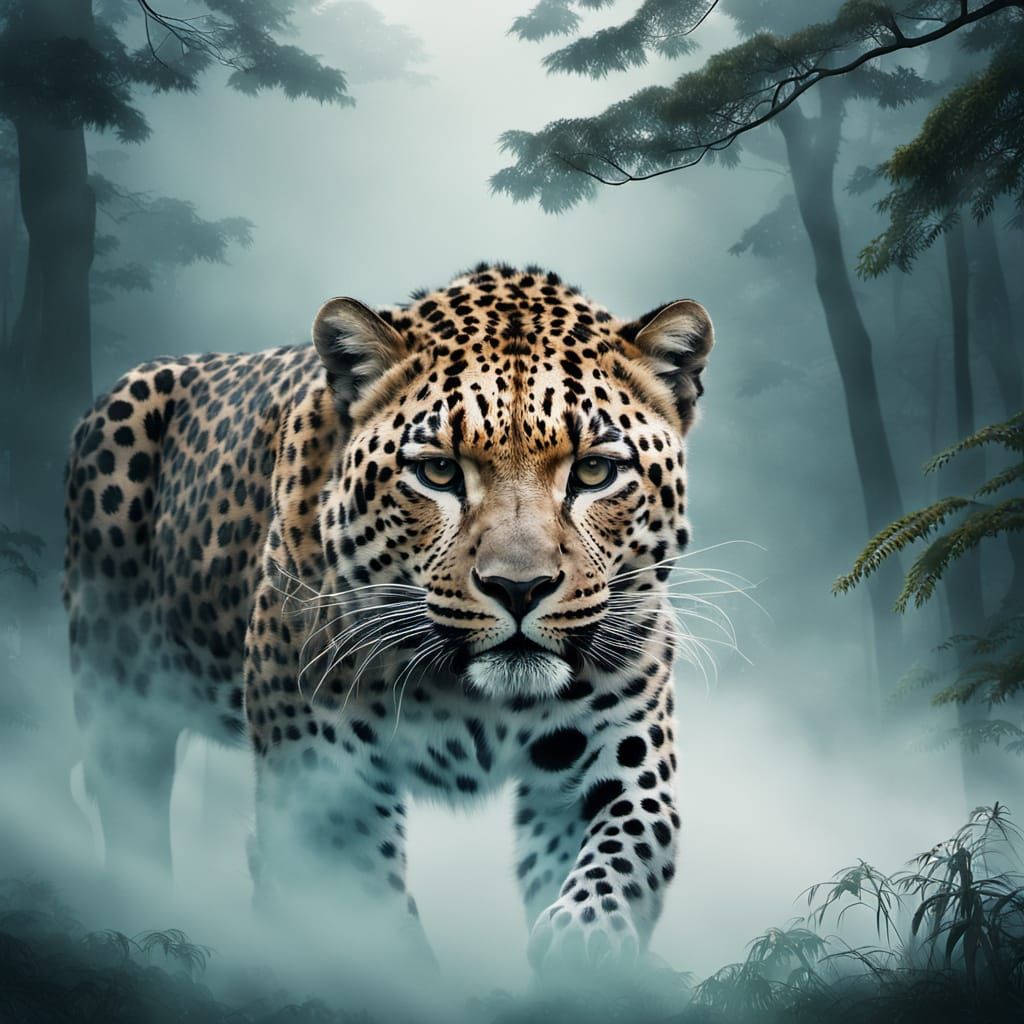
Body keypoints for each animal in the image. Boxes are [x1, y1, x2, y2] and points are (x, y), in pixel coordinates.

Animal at [63, 262, 714, 973]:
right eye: (438, 472)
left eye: (595, 470)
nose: (519, 588)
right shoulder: (323, 780)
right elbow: (367, 924)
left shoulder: (617, 755)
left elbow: (621, 864)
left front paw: (585, 950)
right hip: (121, 702)